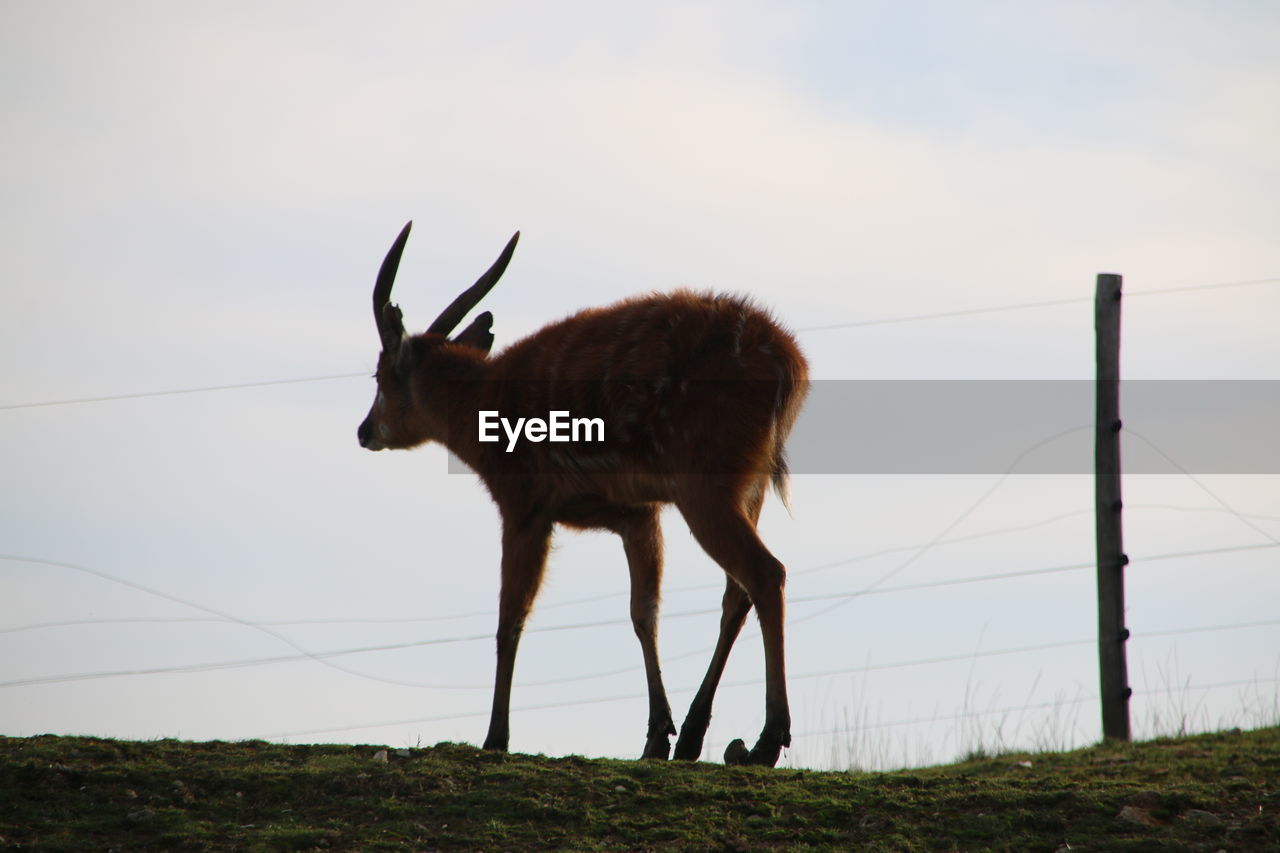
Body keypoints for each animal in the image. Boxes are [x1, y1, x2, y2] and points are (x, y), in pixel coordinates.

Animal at [355, 220, 803, 763]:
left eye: (379, 375)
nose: (364, 430)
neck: (480, 415)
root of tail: (791, 367)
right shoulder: (636, 512)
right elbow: (643, 612)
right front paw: (657, 734)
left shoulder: (523, 504)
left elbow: (510, 619)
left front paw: (495, 737)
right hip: (748, 487)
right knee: (736, 591)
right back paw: (698, 736)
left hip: (707, 480)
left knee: (766, 573)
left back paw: (765, 740)